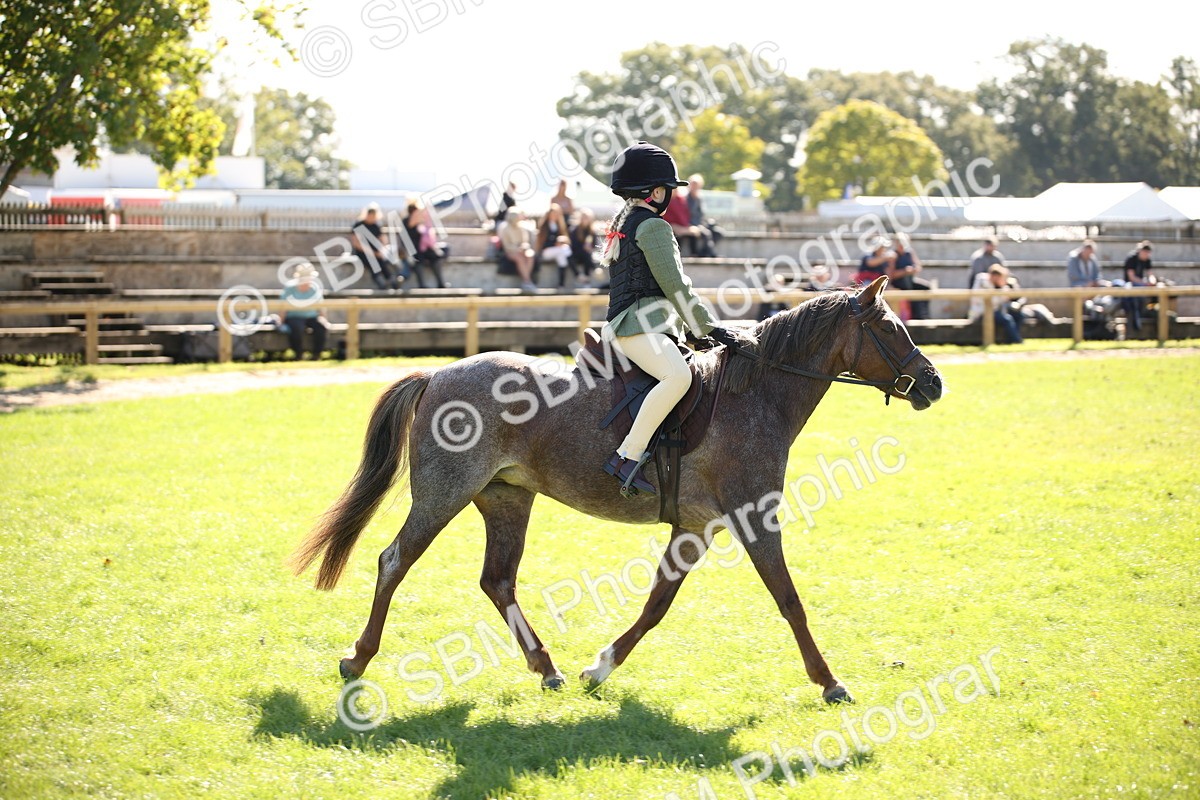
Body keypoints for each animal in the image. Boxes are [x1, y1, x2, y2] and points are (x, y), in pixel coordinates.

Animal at [290, 276, 943, 704]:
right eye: (890, 328)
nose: (934, 383)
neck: (755, 392)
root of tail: (437, 373)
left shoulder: (695, 527)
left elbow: (657, 604)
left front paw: (600, 668)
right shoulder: (753, 517)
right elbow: (789, 600)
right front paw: (830, 682)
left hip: (506, 498)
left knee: (497, 580)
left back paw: (546, 668)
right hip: (442, 495)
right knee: (394, 560)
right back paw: (358, 657)